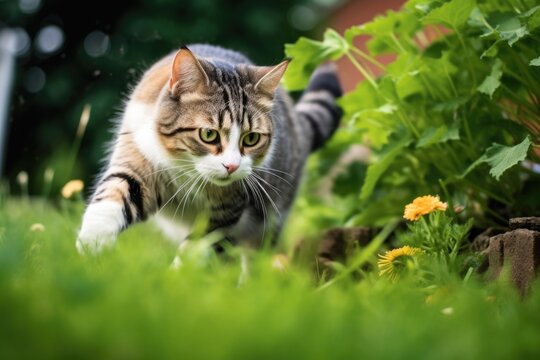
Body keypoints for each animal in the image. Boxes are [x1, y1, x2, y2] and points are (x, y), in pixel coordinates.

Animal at [76, 44, 342, 253]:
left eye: (251, 138)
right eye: (208, 134)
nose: (232, 166)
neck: (185, 170)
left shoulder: (227, 210)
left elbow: (198, 248)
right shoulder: (138, 158)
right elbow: (112, 196)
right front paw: (92, 245)